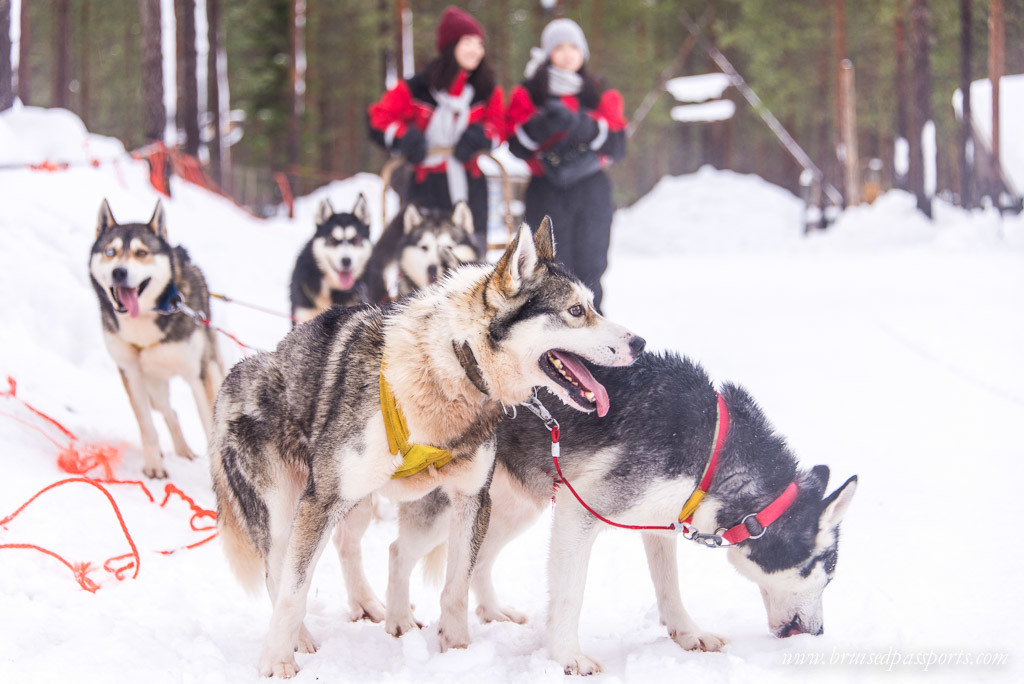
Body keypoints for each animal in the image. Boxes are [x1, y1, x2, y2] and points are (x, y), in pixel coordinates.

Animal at [89, 198, 225, 475]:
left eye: (142, 253)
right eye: (110, 252)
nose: (119, 272)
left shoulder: (199, 375)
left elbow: (211, 429)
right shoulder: (130, 373)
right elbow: (146, 425)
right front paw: (154, 466)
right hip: (152, 386)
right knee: (169, 410)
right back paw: (182, 451)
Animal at [209, 220, 647, 679]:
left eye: (593, 305)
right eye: (576, 312)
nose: (640, 343)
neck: (451, 366)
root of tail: (239, 374)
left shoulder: (472, 499)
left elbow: (456, 587)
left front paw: (457, 651)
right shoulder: (323, 499)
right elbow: (294, 590)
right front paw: (276, 661)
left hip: (357, 501)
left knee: (350, 546)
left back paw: (374, 607)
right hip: (285, 508)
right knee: (277, 572)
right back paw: (301, 638)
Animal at [385, 352, 856, 671]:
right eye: (829, 573)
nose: (819, 634)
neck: (712, 447)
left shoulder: (660, 524)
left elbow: (670, 590)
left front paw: (688, 633)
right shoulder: (579, 511)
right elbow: (570, 595)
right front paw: (566, 657)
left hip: (512, 508)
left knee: (477, 561)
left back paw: (491, 611)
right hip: (448, 508)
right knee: (398, 552)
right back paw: (398, 621)